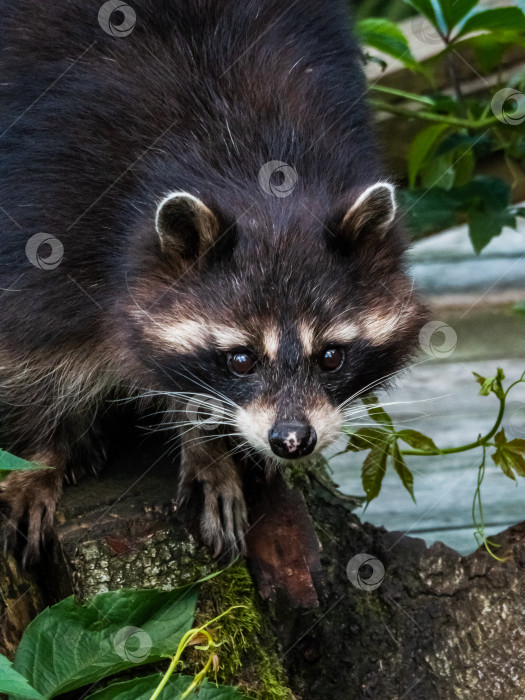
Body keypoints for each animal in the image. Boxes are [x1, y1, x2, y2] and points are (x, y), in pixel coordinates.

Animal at [0, 0, 426, 560]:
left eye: (332, 356)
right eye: (241, 359)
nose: (293, 440)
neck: (252, 174)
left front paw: (207, 447)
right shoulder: (53, 202)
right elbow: (31, 341)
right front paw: (39, 453)